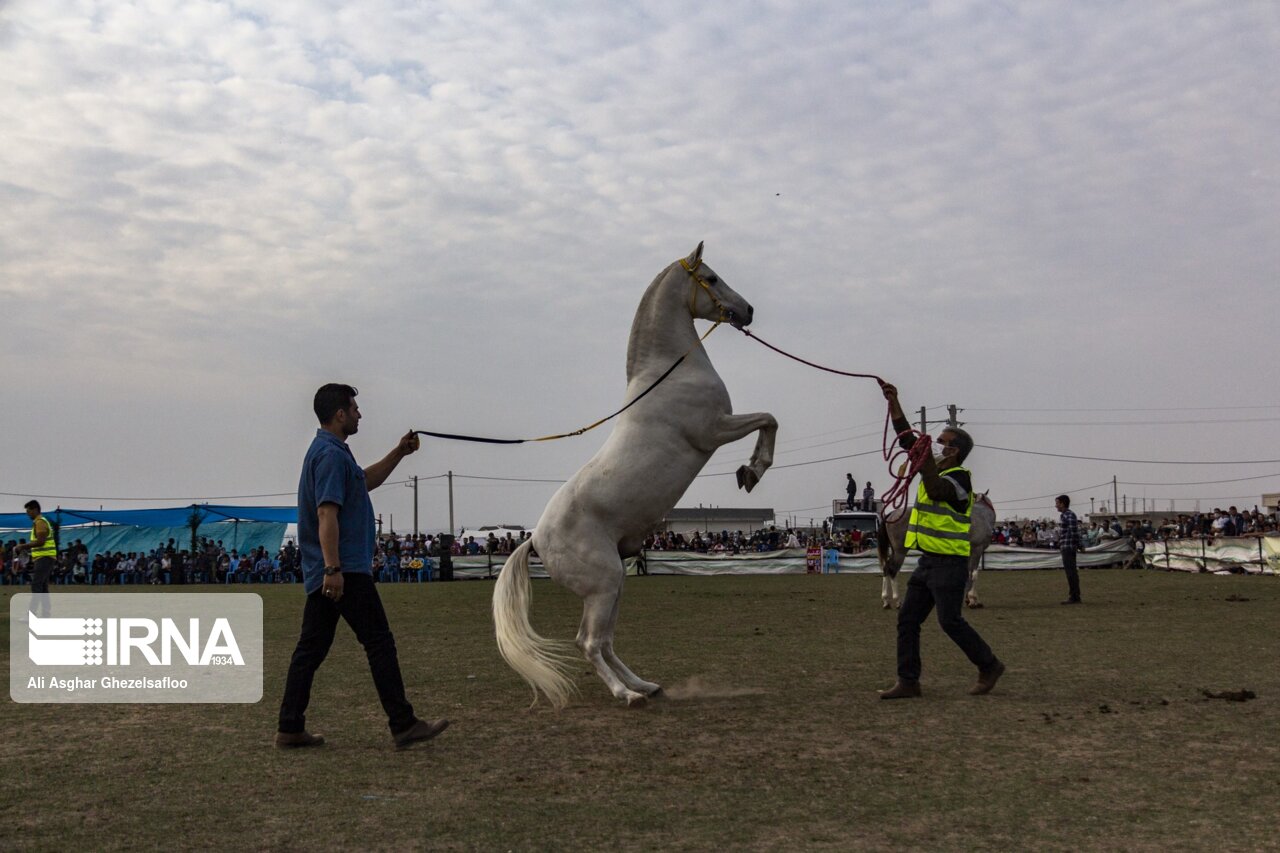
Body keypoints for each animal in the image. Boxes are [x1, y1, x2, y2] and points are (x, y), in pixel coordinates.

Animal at [488, 239, 773, 701]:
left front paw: (750, 471)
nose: (746, 310)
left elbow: (769, 419)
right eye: (711, 278)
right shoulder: (713, 430)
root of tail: (534, 539)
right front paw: (753, 471)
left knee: (603, 641)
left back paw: (644, 684)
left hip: (616, 583)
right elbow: (768, 418)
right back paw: (626, 695)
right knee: (588, 642)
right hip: (604, 584)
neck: (670, 372)